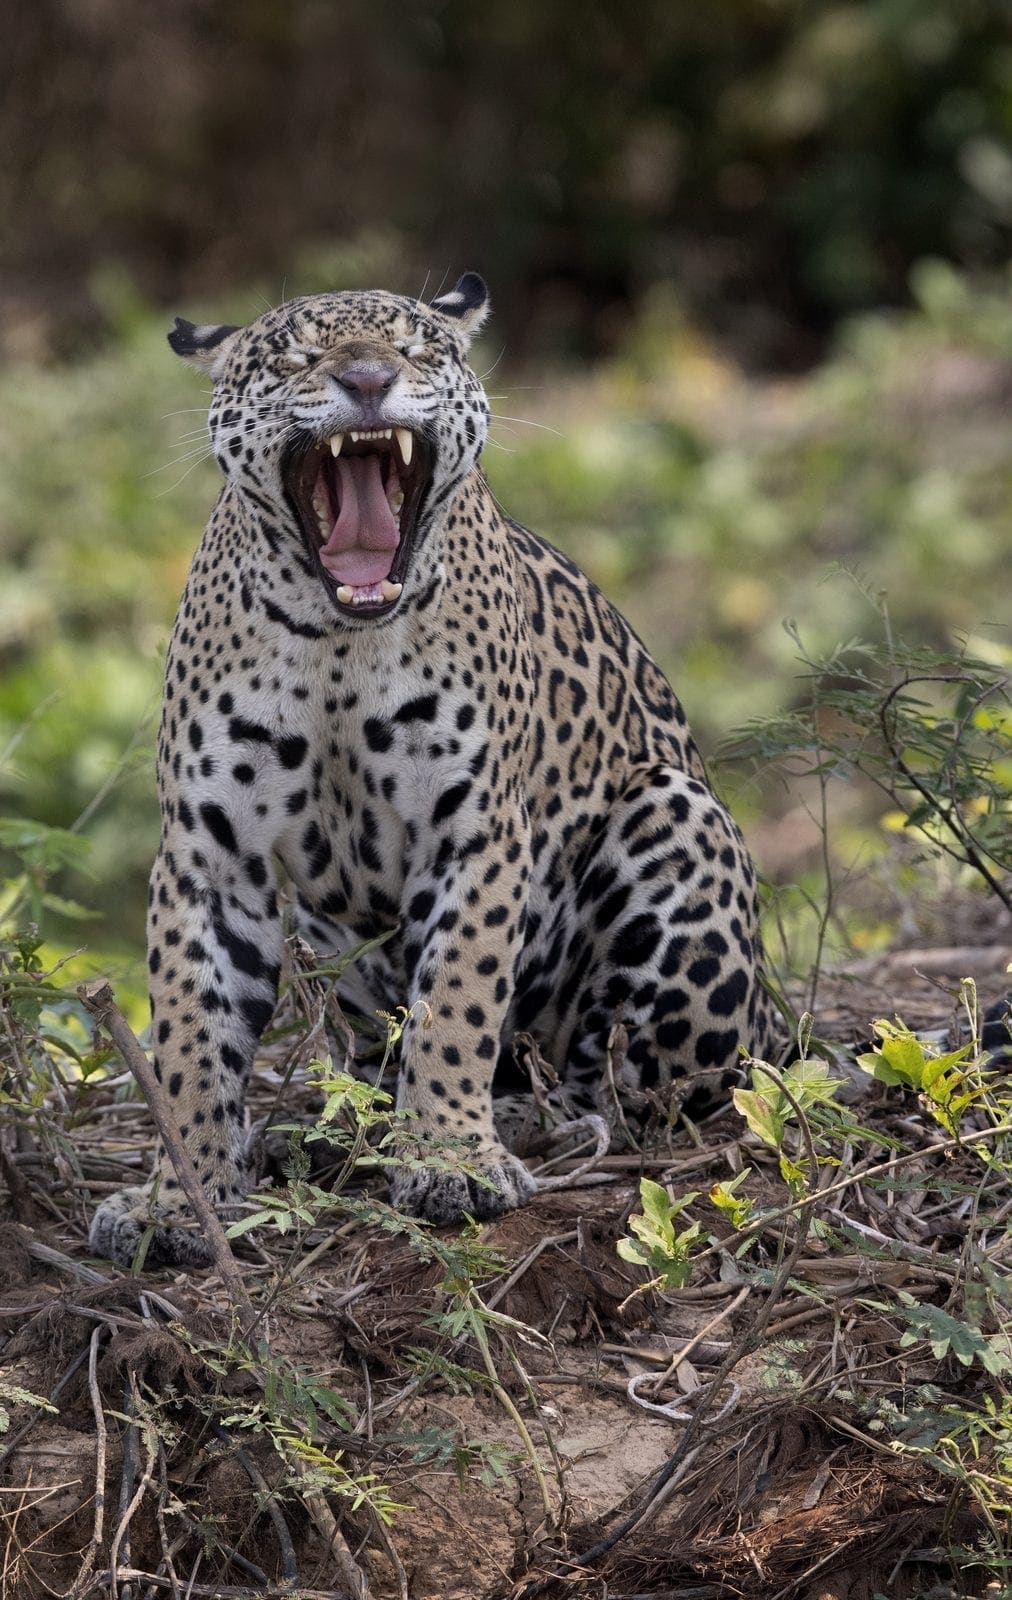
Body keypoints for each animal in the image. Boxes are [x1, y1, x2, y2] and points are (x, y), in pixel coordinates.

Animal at [89, 273, 783, 1267]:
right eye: (294, 358)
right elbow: (189, 1038)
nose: (369, 381)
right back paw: (322, 1133)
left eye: (416, 349)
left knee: (638, 1092)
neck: (336, 636)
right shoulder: (208, 857)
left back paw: (526, 1121)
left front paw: (451, 1157)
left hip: (677, 817)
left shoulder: (477, 831)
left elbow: (457, 999)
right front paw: (176, 1199)